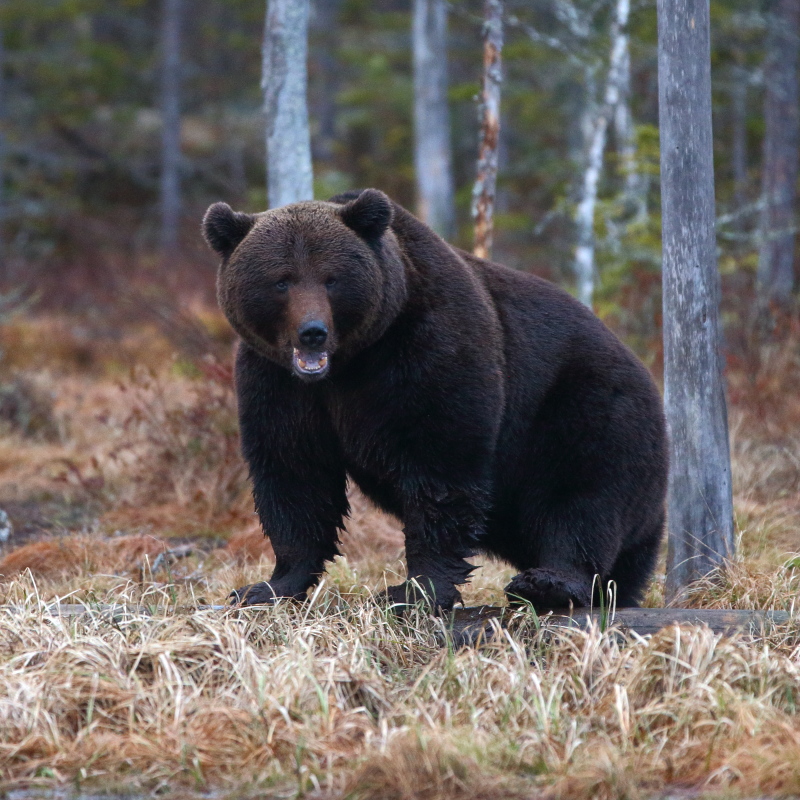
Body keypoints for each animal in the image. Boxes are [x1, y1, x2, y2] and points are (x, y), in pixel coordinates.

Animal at [202, 191, 668, 608]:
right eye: (281, 280)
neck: (349, 365)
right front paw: (266, 587)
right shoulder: (279, 383)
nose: (312, 332)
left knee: (581, 496)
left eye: (331, 278)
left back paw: (548, 583)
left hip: (585, 405)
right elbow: (295, 474)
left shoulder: (428, 353)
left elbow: (439, 471)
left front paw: (414, 591)